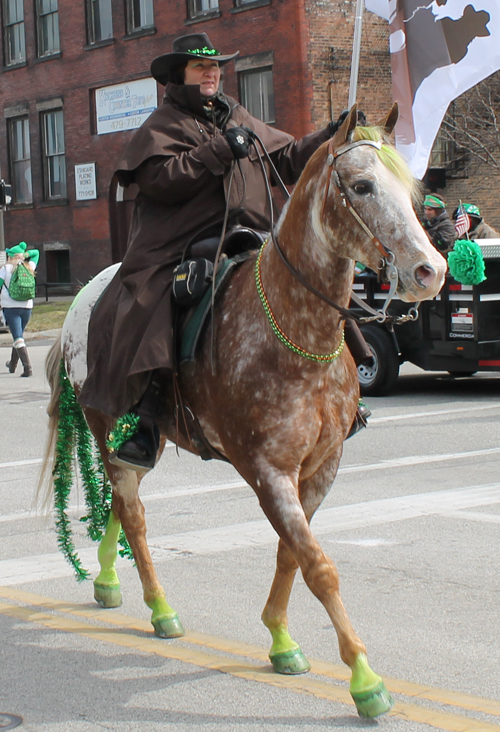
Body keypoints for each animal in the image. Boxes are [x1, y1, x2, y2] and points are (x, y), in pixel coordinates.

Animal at [40, 106, 446, 716]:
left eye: (412, 189)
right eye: (361, 186)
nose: (431, 272)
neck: (295, 329)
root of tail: (81, 302)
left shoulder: (319, 469)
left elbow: (290, 555)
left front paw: (280, 640)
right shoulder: (267, 470)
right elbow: (318, 567)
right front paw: (364, 679)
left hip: (147, 437)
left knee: (120, 500)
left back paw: (108, 581)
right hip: (107, 423)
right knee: (133, 513)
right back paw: (160, 608)